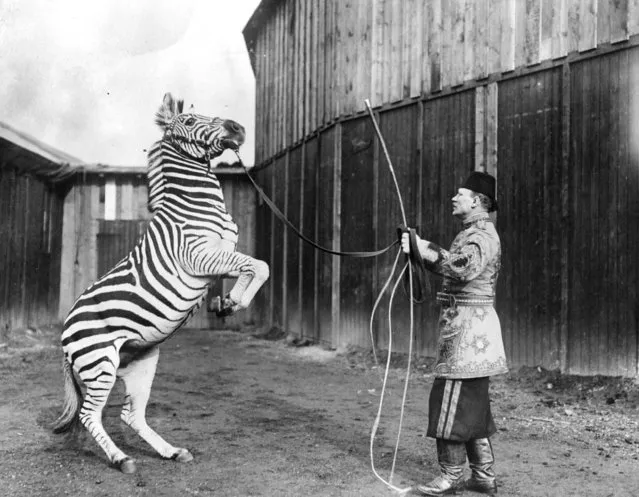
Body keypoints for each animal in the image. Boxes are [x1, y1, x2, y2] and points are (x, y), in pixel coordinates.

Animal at [51, 92, 268, 472]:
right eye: (191, 121)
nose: (238, 128)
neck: (195, 203)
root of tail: (66, 327)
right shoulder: (199, 257)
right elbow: (260, 266)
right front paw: (234, 303)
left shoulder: (222, 255)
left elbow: (251, 268)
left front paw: (226, 304)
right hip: (99, 363)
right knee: (89, 415)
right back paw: (122, 459)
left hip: (141, 362)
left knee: (130, 415)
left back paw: (170, 451)